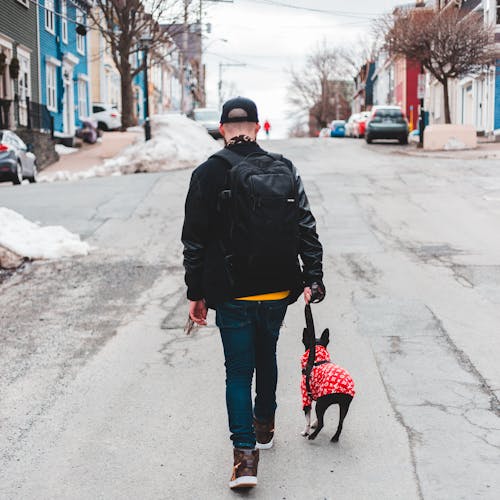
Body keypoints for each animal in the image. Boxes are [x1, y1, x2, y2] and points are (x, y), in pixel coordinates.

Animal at [300, 304, 356, 442]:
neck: (316, 359)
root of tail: (344, 389)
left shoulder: (306, 397)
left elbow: (307, 418)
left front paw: (306, 431)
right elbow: (313, 418)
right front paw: (313, 424)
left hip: (321, 403)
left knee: (322, 423)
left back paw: (312, 436)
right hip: (343, 406)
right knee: (340, 423)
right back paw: (335, 438)